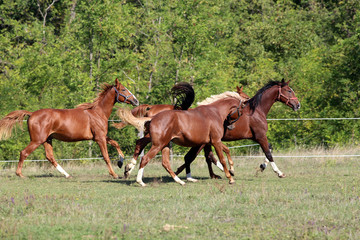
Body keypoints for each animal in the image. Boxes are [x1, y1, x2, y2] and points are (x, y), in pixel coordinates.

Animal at [0, 79, 138, 178]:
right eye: (123, 89)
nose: (136, 101)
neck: (98, 113)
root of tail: (32, 114)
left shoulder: (100, 137)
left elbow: (115, 143)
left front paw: (121, 163)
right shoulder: (99, 138)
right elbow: (106, 156)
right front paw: (114, 174)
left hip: (47, 140)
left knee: (50, 157)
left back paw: (66, 174)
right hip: (37, 140)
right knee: (24, 152)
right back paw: (20, 174)